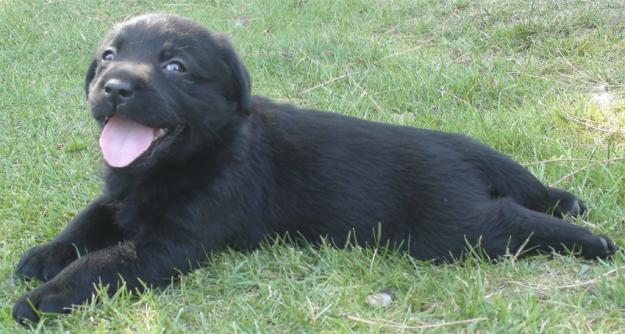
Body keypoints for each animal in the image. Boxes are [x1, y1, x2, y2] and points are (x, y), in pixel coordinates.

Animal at [12, 13, 616, 324]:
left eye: (176, 66)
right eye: (109, 57)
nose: (115, 88)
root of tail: (460, 155)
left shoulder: (168, 242)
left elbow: (99, 264)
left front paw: (42, 299)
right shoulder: (120, 196)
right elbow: (86, 222)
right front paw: (43, 255)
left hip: (453, 230)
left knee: (514, 221)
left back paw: (594, 241)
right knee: (528, 189)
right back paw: (566, 200)